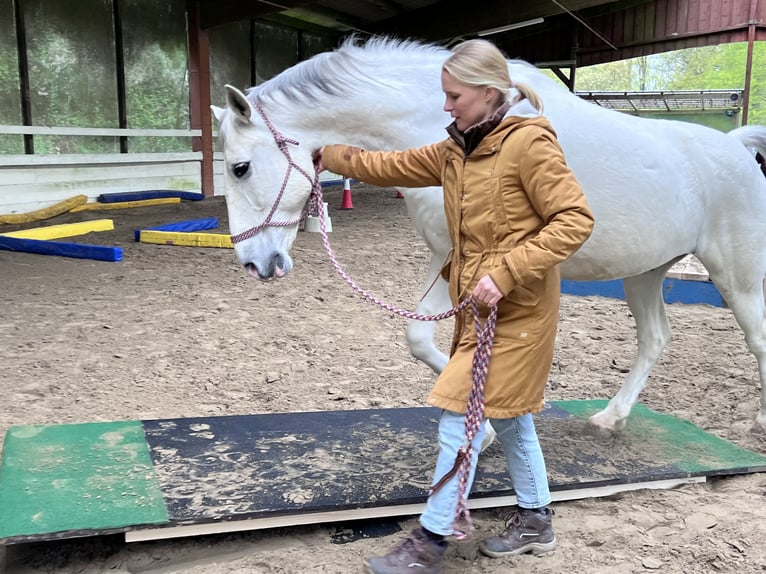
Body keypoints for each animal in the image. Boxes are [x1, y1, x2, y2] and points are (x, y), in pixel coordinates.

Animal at [213, 37, 766, 432]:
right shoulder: (447, 256)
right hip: (645, 273)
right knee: (654, 338)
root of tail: (738, 148)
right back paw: (611, 417)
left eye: (240, 168)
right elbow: (419, 337)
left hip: (737, 275)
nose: (255, 264)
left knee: (756, 337)